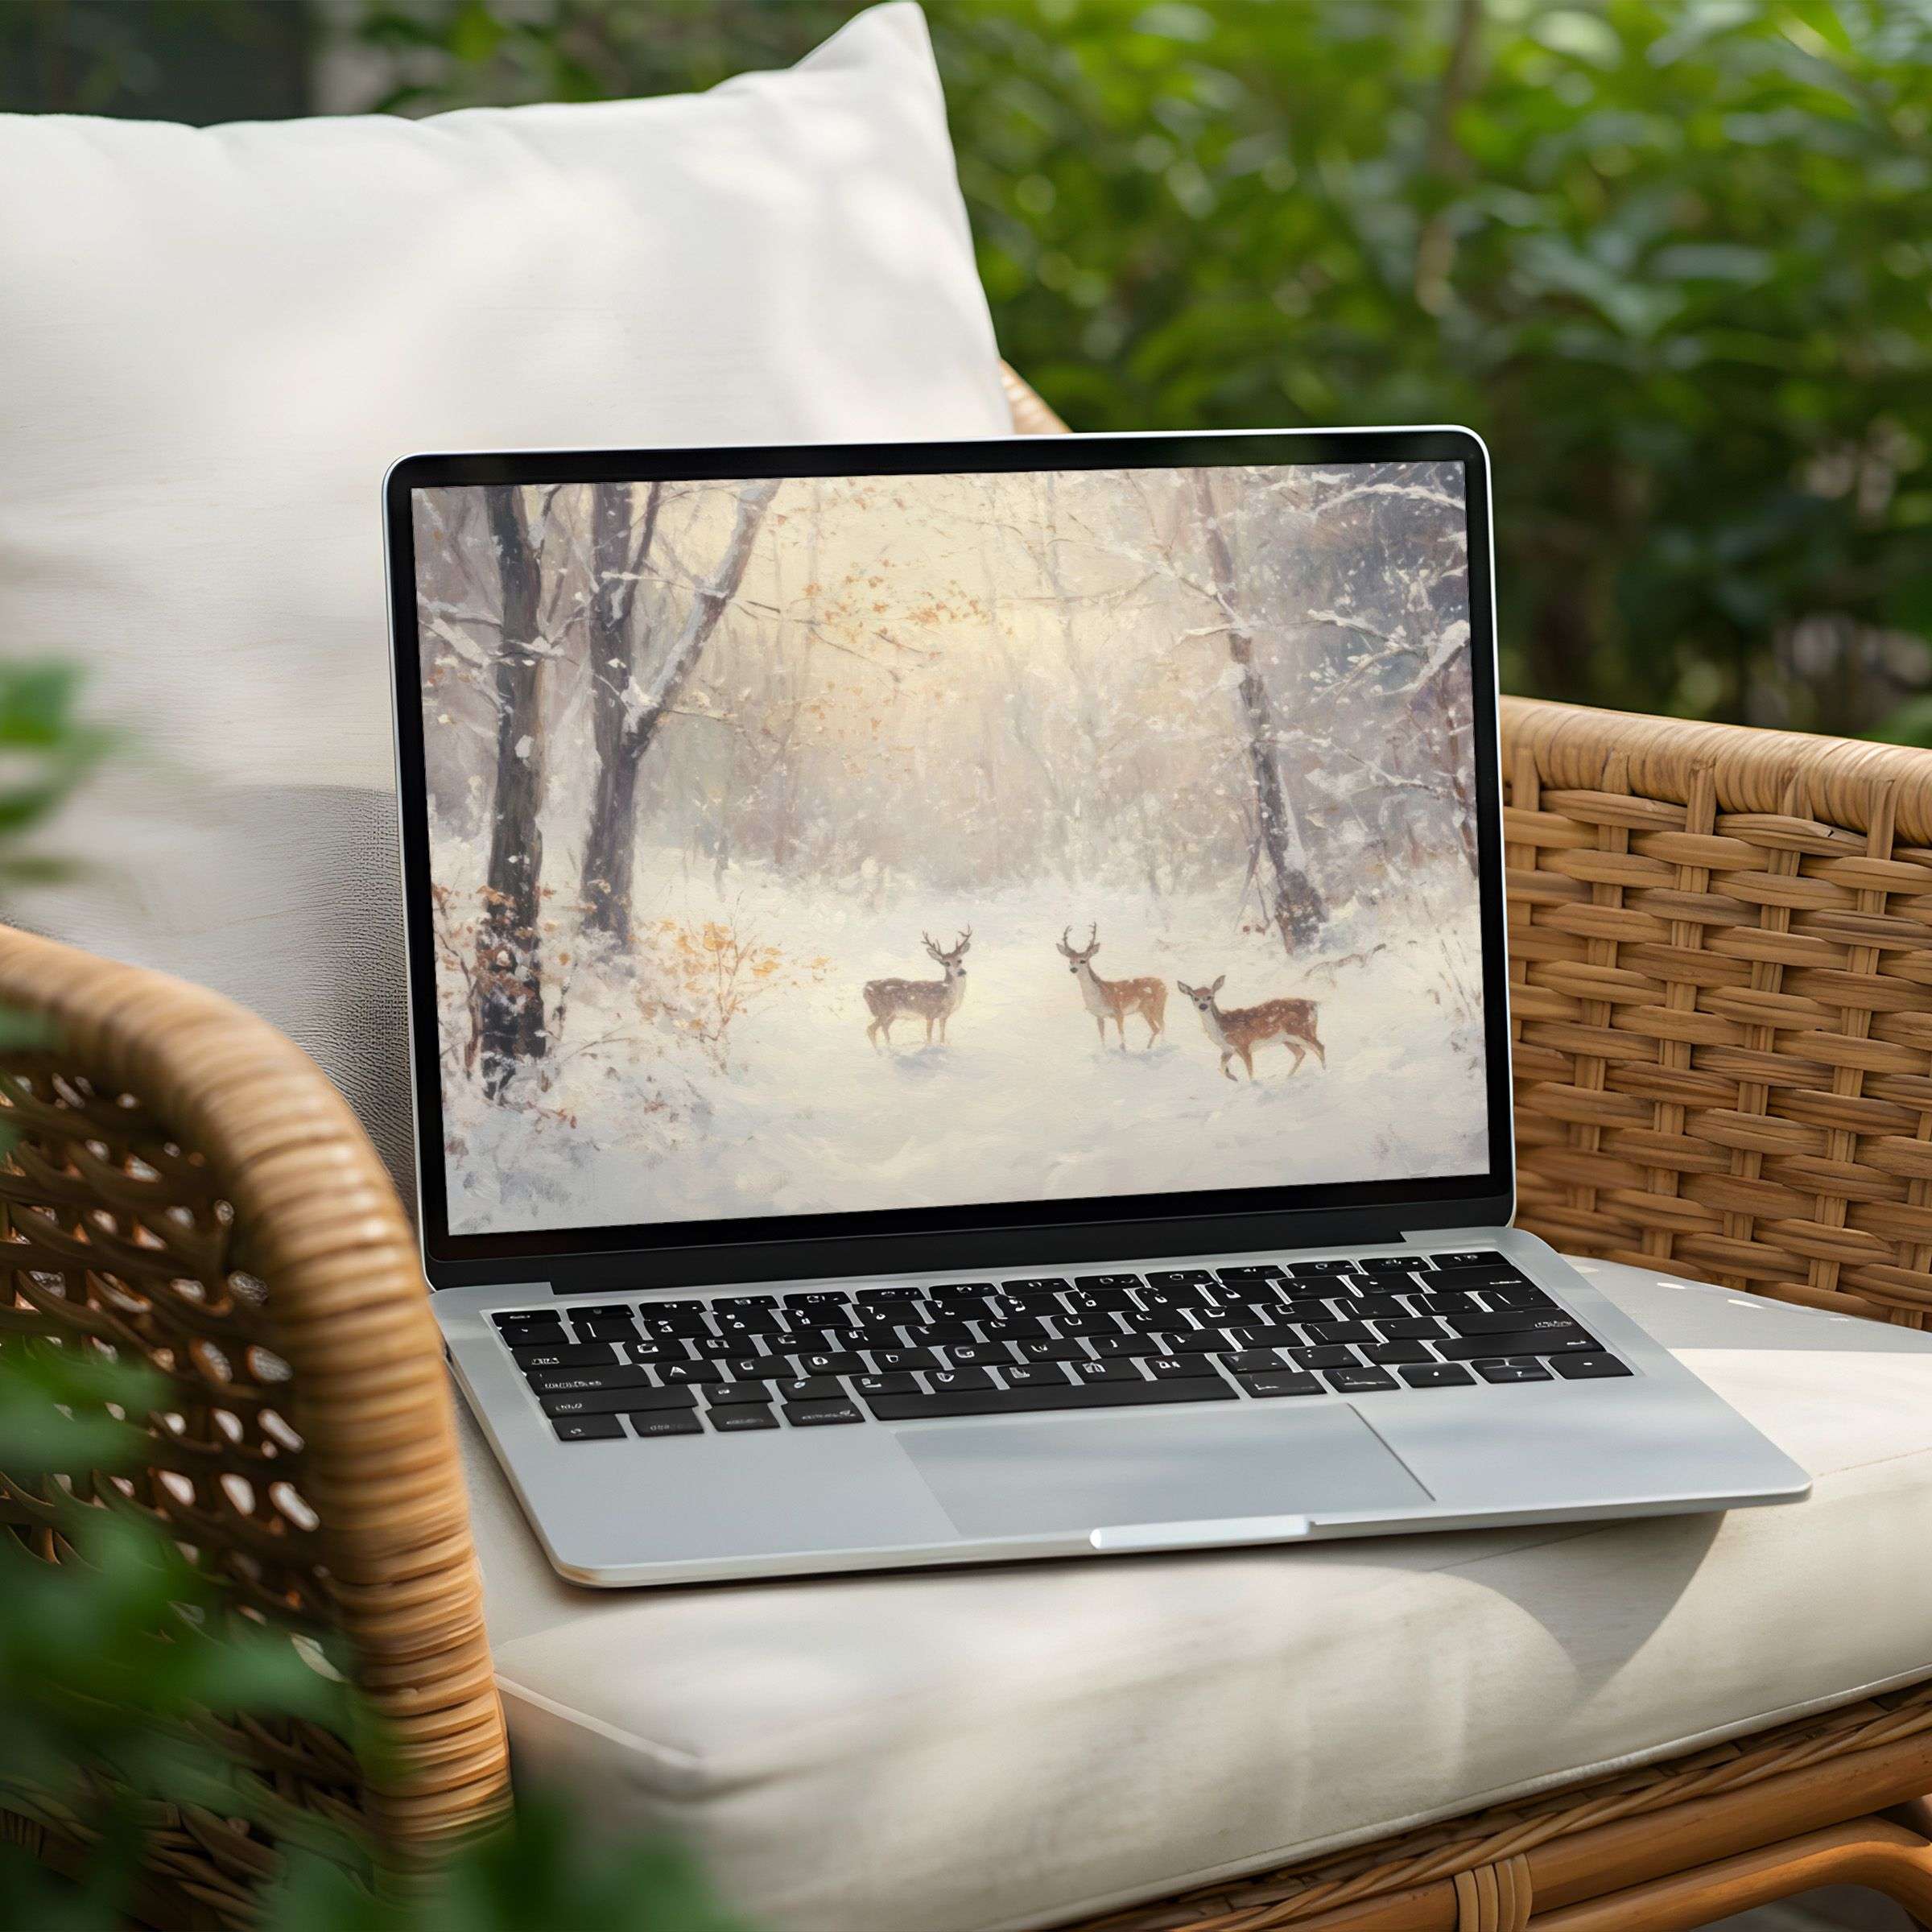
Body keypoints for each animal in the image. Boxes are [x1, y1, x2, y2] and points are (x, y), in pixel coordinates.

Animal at [864, 928, 972, 1048]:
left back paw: (890, 1047)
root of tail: (866, 988)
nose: (961, 972)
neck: (946, 994)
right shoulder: (929, 1013)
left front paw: (942, 1046)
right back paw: (880, 1051)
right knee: (871, 1029)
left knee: (884, 1027)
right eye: (946, 963)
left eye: (960, 960)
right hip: (883, 1010)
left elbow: (942, 1034)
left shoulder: (944, 1016)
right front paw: (929, 1048)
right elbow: (929, 1035)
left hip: (893, 1014)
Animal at [1055, 924, 1167, 1049]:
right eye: (1070, 961)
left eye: (1083, 960)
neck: (1099, 996)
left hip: (1156, 1006)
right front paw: (1104, 1051)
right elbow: (1102, 1037)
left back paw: (1161, 1047)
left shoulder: (1119, 1012)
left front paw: (1124, 1050)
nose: (1073, 969)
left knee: (1161, 1026)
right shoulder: (1099, 1016)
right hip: (1145, 1010)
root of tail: (1164, 984)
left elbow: (1122, 1036)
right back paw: (1150, 1048)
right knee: (1157, 1028)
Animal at [1175, 976, 1325, 1082]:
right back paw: (1288, 1077)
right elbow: (1222, 1068)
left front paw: (1252, 1085)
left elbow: (1250, 1071)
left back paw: (1324, 1071)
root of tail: (1314, 1004)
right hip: (1287, 1039)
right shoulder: (1227, 1049)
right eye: (1195, 997)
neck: (1221, 1029)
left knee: (1319, 1046)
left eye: (1210, 996)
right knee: (1301, 1053)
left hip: (1301, 1029)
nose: (1203, 1006)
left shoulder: (1244, 1044)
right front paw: (1234, 1077)